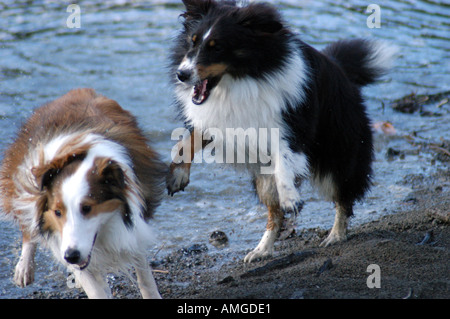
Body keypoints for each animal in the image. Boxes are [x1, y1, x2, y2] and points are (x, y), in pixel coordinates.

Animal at [0, 89, 167, 298]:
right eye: (57, 212)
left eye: (87, 208)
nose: (71, 256)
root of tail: (78, 91)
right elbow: (95, 290)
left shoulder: (134, 230)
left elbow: (145, 279)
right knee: (29, 228)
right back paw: (24, 268)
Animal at [167, 0, 396, 262]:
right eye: (192, 42)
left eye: (218, 47)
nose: (182, 74)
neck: (242, 79)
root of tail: (342, 71)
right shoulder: (219, 120)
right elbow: (187, 141)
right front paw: (177, 176)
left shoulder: (290, 124)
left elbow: (284, 159)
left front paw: (291, 198)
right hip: (264, 181)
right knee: (274, 216)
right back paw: (261, 250)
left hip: (339, 154)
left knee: (343, 197)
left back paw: (335, 235)